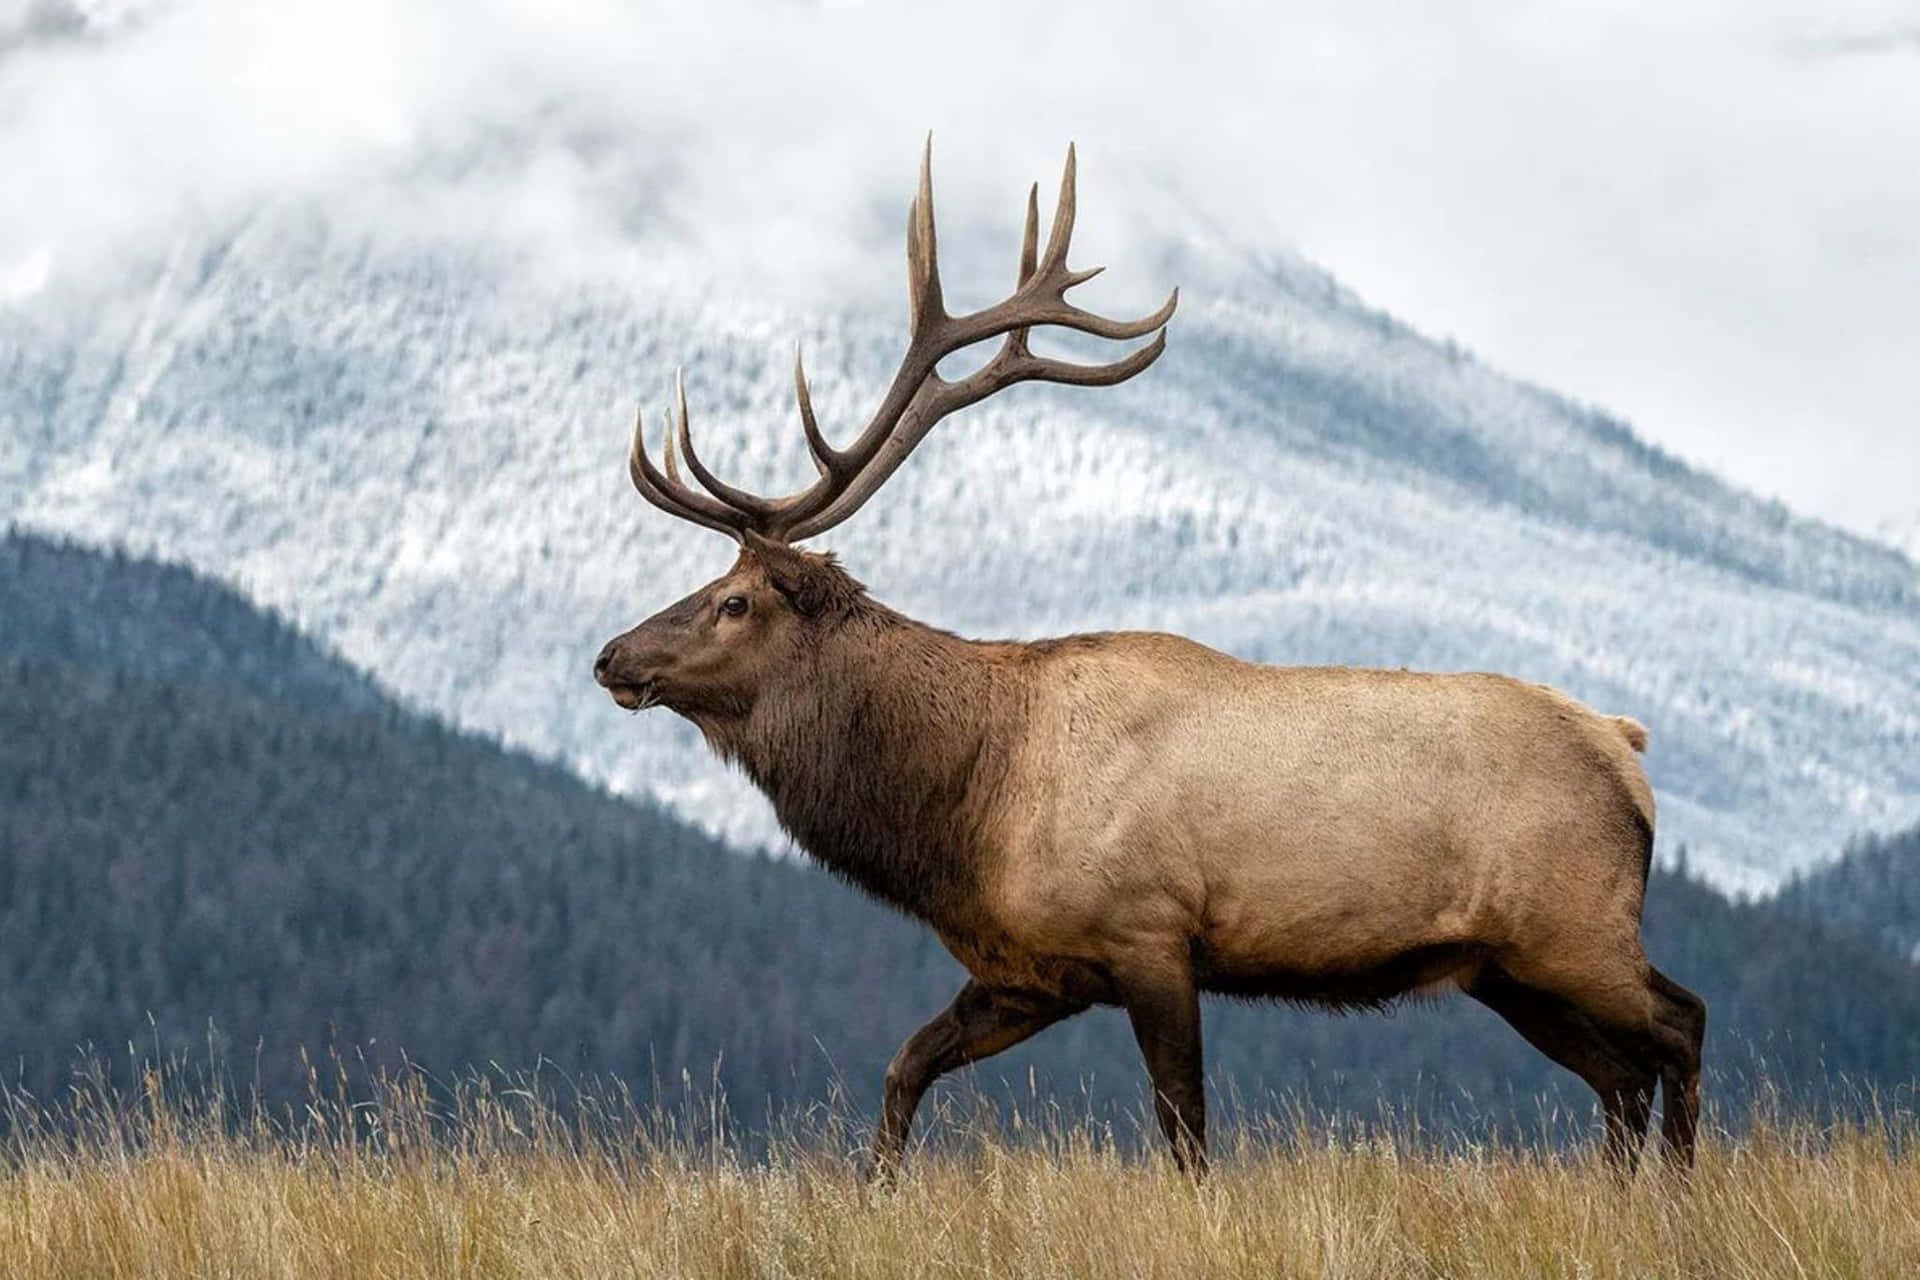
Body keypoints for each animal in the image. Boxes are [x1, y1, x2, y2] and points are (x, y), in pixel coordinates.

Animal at [595, 142, 1712, 1182]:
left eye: (733, 600)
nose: (610, 655)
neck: (969, 802)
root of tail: (1627, 751)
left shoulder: (1150, 931)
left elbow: (1185, 1130)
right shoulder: (1034, 968)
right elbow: (904, 1064)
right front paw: (872, 1191)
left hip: (1575, 924)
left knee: (1681, 1026)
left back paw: (1681, 1192)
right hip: (1502, 964)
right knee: (1620, 1074)